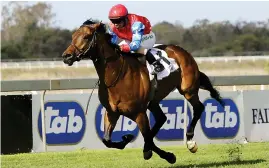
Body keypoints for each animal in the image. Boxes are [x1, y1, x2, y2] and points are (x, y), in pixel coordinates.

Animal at [61, 19, 223, 163]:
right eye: (73, 36)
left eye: (86, 37)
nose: (66, 56)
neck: (117, 76)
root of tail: (181, 51)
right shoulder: (112, 112)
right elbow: (107, 140)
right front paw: (128, 139)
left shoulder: (139, 113)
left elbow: (147, 138)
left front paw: (168, 155)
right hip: (153, 101)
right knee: (161, 118)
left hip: (188, 89)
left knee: (198, 107)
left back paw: (190, 141)